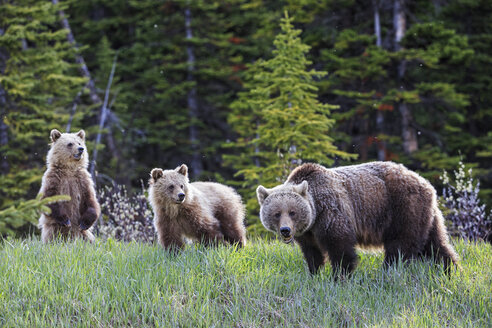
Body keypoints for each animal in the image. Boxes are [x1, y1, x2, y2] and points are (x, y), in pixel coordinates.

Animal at [256, 161, 460, 276]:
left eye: (292, 212)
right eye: (276, 213)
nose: (285, 230)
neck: (316, 213)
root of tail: (427, 184)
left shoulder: (331, 214)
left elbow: (341, 248)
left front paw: (339, 276)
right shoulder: (307, 233)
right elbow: (312, 253)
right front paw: (314, 274)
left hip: (403, 208)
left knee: (401, 245)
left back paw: (388, 271)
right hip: (426, 215)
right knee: (435, 244)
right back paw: (450, 269)